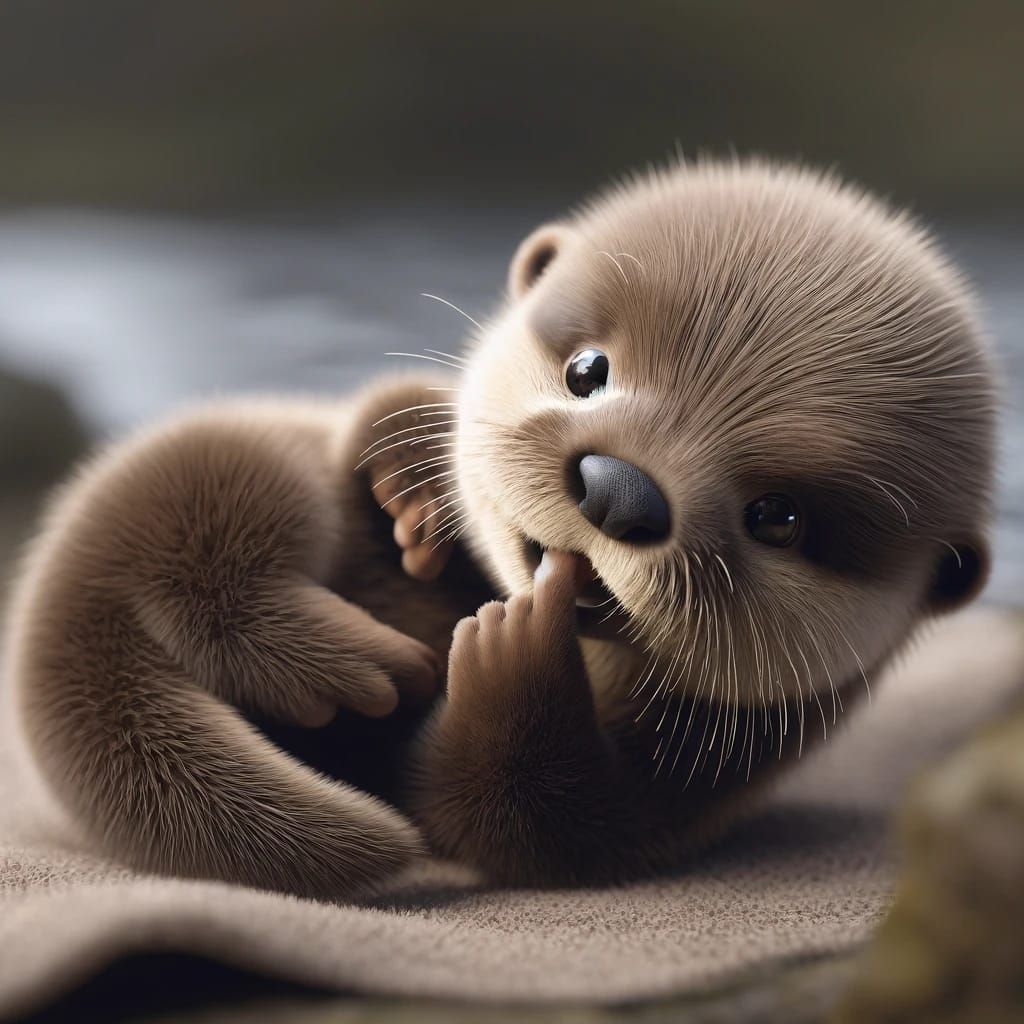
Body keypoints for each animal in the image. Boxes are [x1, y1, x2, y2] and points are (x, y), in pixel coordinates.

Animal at [3, 160, 995, 897]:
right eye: (588, 370)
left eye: (778, 518)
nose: (619, 490)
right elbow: (388, 416)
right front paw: (412, 491)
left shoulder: (708, 777)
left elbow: (527, 822)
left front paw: (515, 650)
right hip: (236, 449)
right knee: (207, 543)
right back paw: (351, 661)